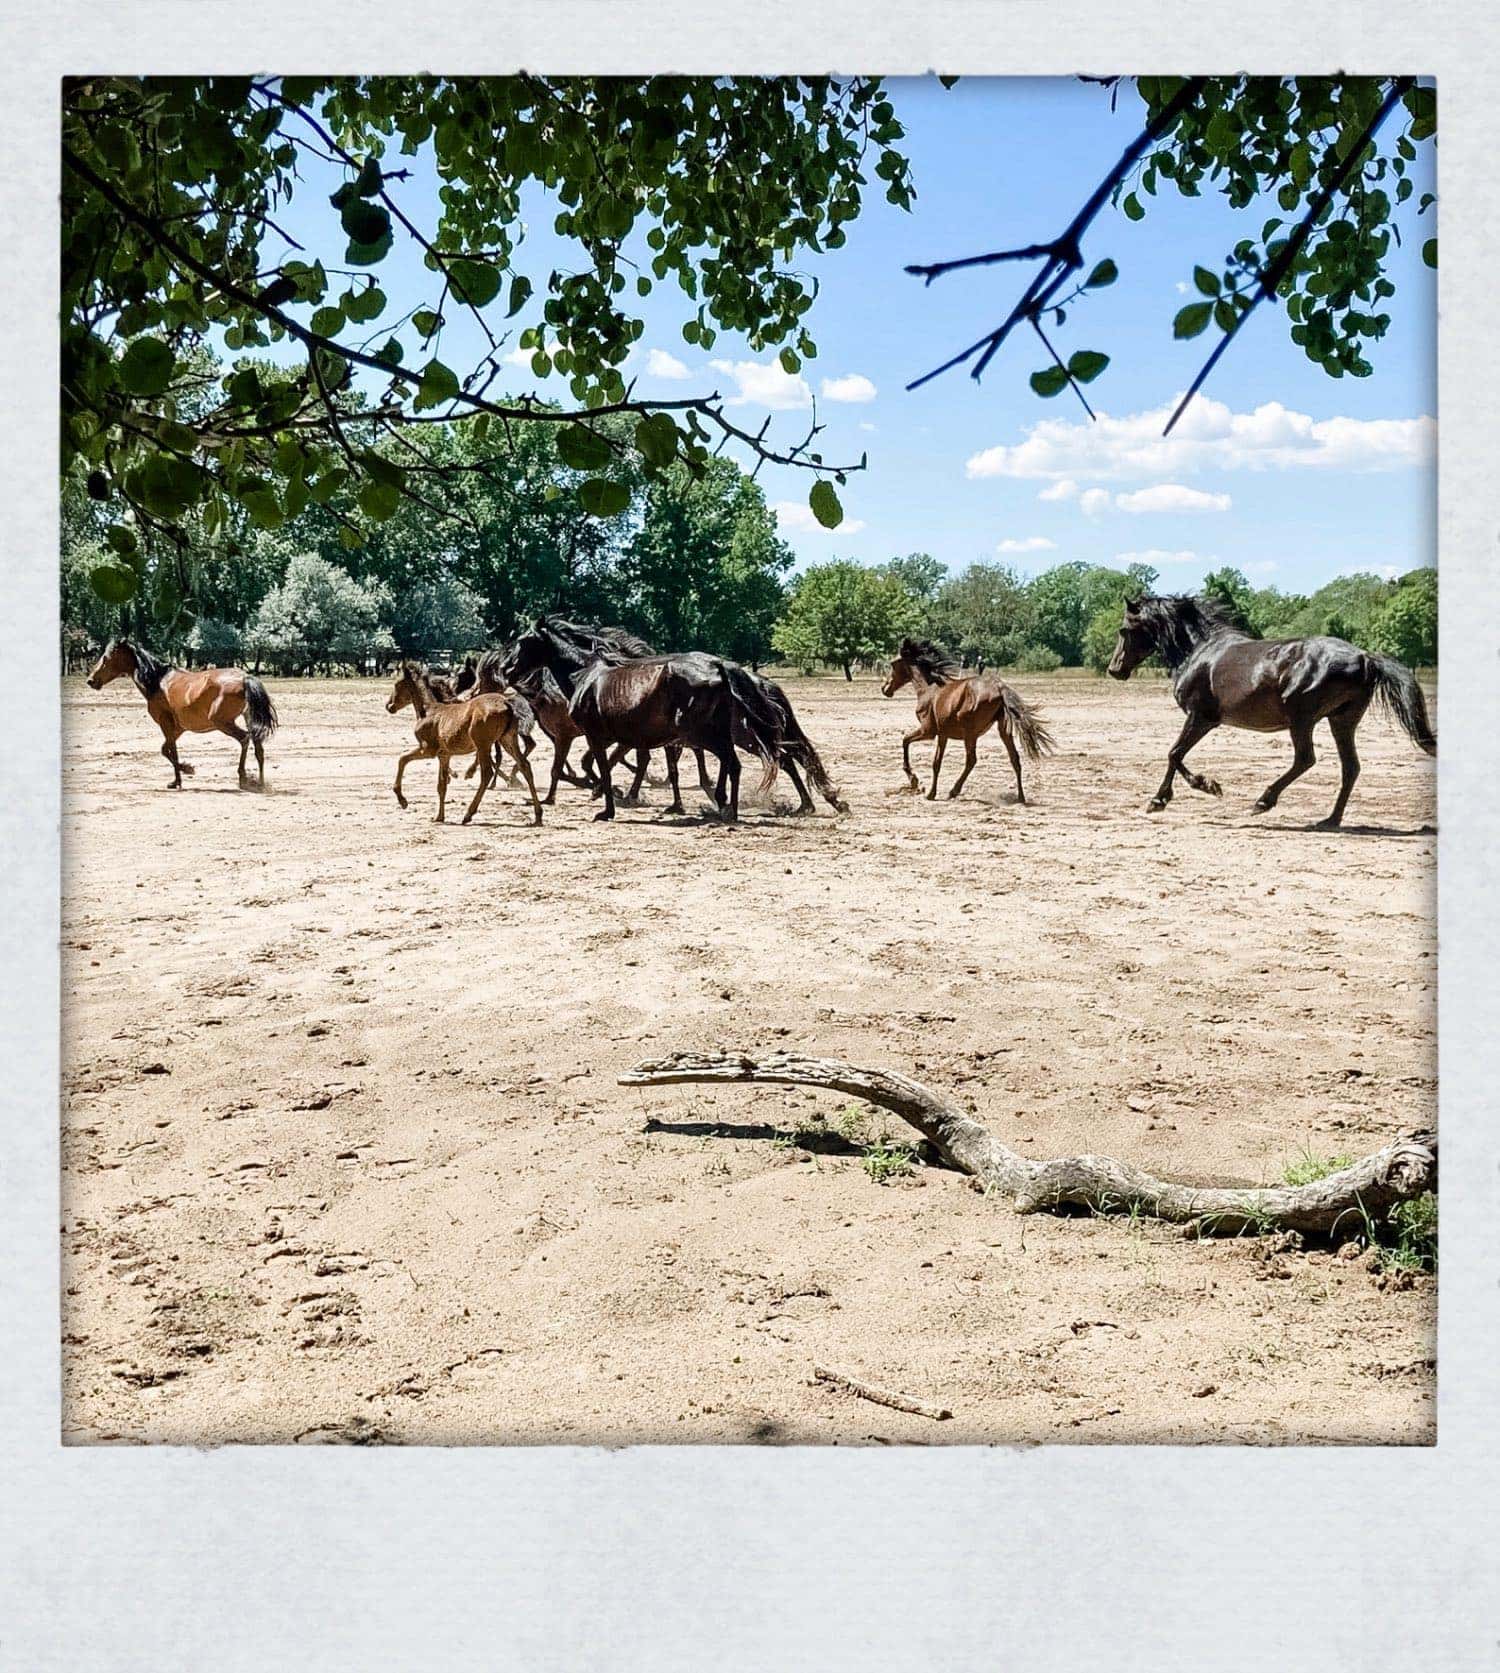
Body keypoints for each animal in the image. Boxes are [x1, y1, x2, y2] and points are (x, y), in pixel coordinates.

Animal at [84, 642, 279, 793]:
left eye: (106, 658)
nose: (91, 681)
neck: (158, 682)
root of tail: (245, 678)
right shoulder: (178, 729)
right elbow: (168, 750)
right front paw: (178, 778)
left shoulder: (166, 724)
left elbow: (169, 751)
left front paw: (185, 772)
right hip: (248, 719)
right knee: (258, 748)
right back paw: (260, 783)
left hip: (223, 723)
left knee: (244, 739)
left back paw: (244, 779)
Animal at [386, 662, 545, 826]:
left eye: (397, 684)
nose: (389, 706)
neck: (428, 710)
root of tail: (507, 703)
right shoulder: (444, 755)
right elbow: (441, 785)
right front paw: (439, 817)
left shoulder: (427, 749)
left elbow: (402, 759)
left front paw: (402, 800)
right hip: (508, 740)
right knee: (525, 766)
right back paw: (538, 815)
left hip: (483, 745)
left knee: (487, 773)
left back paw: (468, 814)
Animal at [876, 635, 1056, 799]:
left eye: (892, 664)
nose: (885, 688)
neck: (928, 689)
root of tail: (999, 688)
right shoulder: (942, 735)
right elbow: (933, 760)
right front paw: (924, 788)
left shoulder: (929, 731)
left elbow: (910, 744)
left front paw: (920, 785)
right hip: (1003, 730)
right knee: (1015, 759)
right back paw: (1021, 797)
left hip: (970, 733)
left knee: (972, 760)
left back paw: (954, 791)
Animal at [1103, 595, 1431, 829]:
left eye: (1124, 629)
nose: (1114, 670)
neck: (1200, 652)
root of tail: (1364, 657)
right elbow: (1176, 754)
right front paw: (1196, 788)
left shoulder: (1201, 717)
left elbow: (1174, 753)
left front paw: (1175, 795)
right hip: (1342, 720)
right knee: (1350, 767)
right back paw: (1329, 820)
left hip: (1301, 719)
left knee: (1305, 760)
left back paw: (1263, 802)